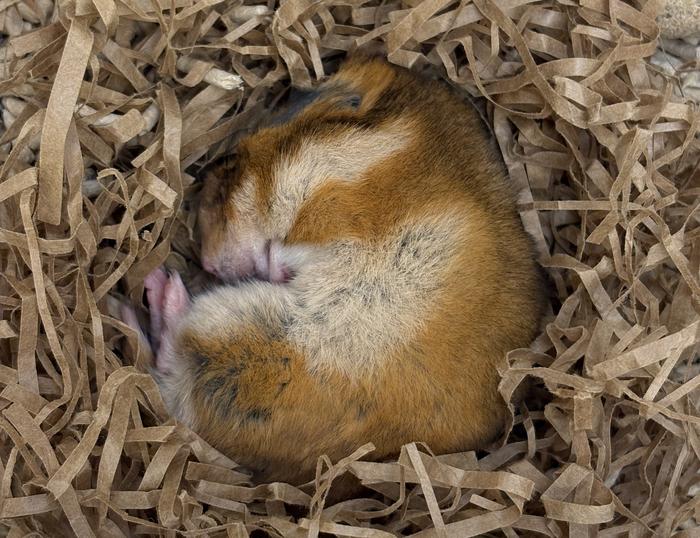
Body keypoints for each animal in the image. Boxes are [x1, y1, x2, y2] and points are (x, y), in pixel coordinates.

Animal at [125, 56, 546, 485]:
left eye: (229, 170)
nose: (208, 264)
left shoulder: (332, 218)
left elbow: (289, 250)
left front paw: (274, 267)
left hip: (238, 333)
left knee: (172, 356)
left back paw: (161, 289)